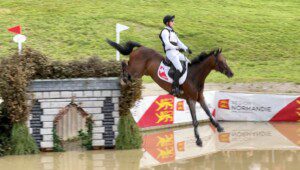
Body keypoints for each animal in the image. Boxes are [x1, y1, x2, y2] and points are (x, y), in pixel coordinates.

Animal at [106, 38, 234, 146]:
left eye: (225, 60)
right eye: (221, 61)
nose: (231, 73)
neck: (195, 76)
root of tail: (141, 47)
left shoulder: (200, 97)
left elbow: (208, 113)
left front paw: (219, 127)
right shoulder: (191, 100)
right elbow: (195, 121)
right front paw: (198, 140)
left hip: (141, 72)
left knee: (125, 65)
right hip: (136, 71)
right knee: (124, 64)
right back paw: (123, 79)